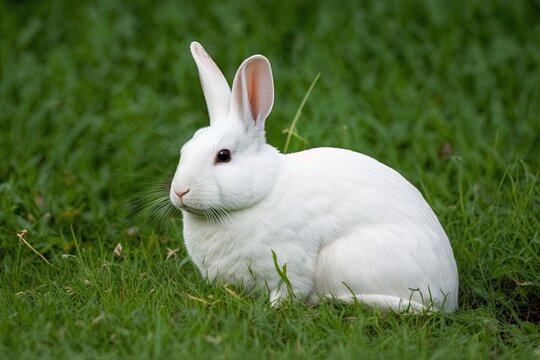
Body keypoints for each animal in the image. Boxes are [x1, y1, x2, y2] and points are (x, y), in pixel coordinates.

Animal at [171, 42, 458, 312]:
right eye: (185, 149)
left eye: (224, 155)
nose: (180, 191)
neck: (262, 194)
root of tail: (448, 295)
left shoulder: (290, 263)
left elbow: (287, 291)